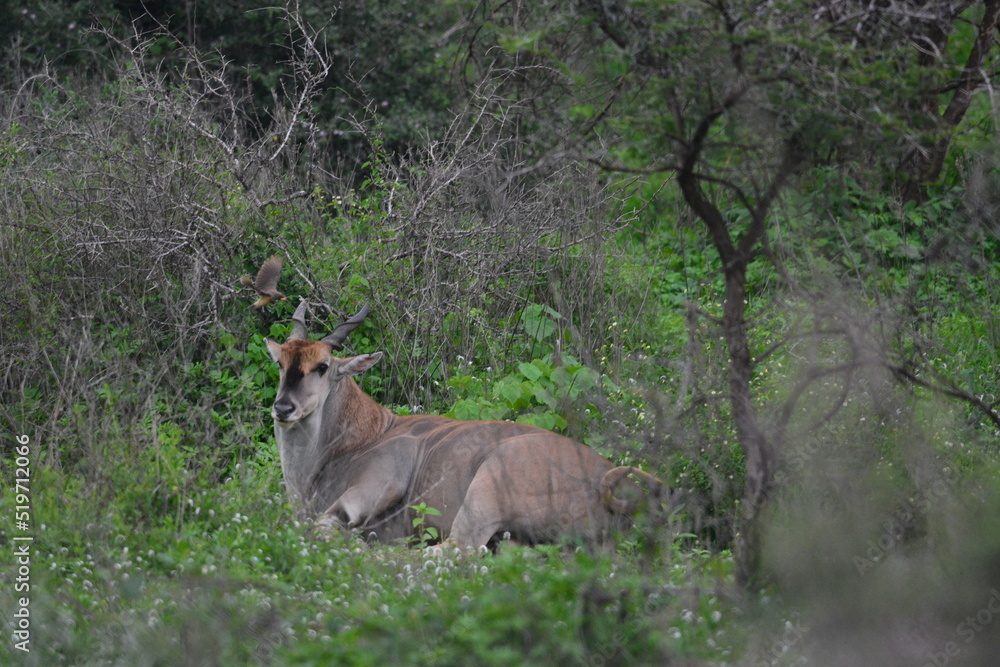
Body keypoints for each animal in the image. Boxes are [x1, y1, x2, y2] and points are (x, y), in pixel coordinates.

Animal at [264, 300, 666, 548]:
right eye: (281, 363)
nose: (283, 408)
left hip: (484, 494)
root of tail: (604, 478)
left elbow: (323, 525)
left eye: (322, 367)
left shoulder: (382, 477)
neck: (363, 436)